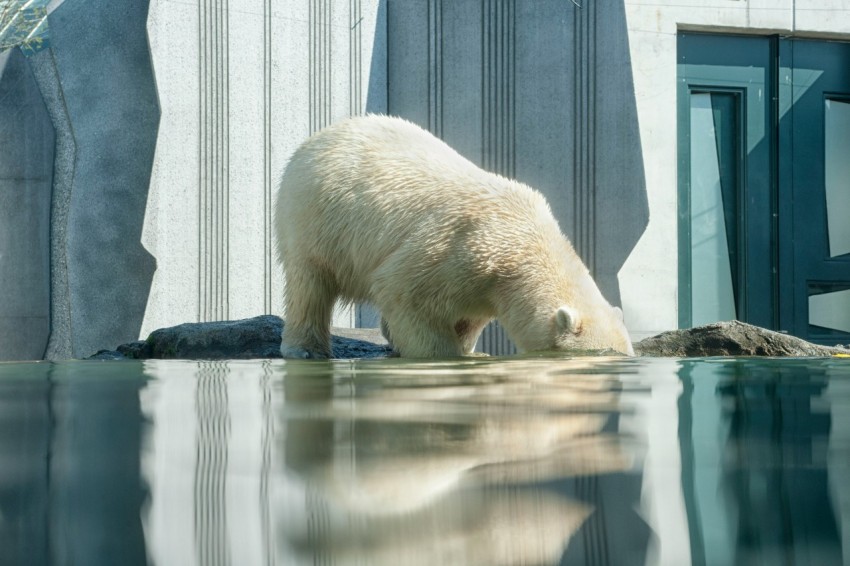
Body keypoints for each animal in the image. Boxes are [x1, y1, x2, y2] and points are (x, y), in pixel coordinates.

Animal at [274, 115, 634, 359]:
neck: (524, 243)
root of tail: (321, 135)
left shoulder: (485, 285)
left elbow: (468, 317)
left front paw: (468, 350)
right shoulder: (460, 248)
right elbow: (404, 292)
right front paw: (444, 355)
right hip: (317, 219)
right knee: (309, 283)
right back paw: (307, 349)